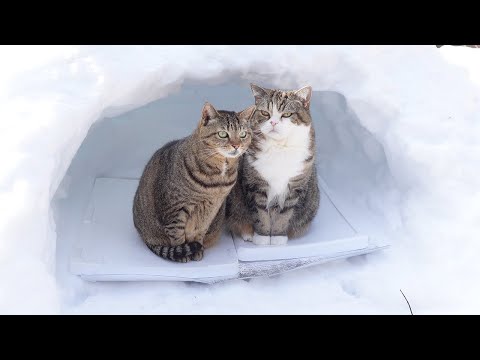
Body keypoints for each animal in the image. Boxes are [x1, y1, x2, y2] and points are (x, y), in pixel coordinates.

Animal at [133, 102, 255, 262]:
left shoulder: (211, 209)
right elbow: (177, 235)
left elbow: (199, 232)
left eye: (243, 134)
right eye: (223, 134)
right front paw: (183, 252)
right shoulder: (175, 209)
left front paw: (197, 249)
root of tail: (145, 237)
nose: (236, 145)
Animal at [227, 84, 320, 246]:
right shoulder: (256, 185)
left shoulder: (294, 188)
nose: (273, 123)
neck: (279, 147)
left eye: (287, 114)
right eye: (265, 113)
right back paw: (247, 232)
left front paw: (278, 237)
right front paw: (262, 237)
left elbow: (284, 215)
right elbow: (260, 213)